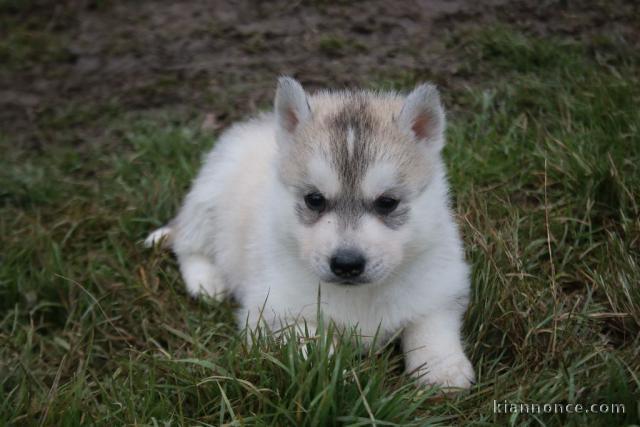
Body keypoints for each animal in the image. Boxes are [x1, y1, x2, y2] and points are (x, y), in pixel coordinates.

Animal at [146, 76, 476, 388]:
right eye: (314, 199)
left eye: (387, 202)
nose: (346, 264)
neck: (358, 295)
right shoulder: (274, 313)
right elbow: (316, 345)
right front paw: (340, 379)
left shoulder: (440, 285)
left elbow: (431, 327)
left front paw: (443, 371)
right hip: (209, 201)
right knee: (187, 244)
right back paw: (206, 281)